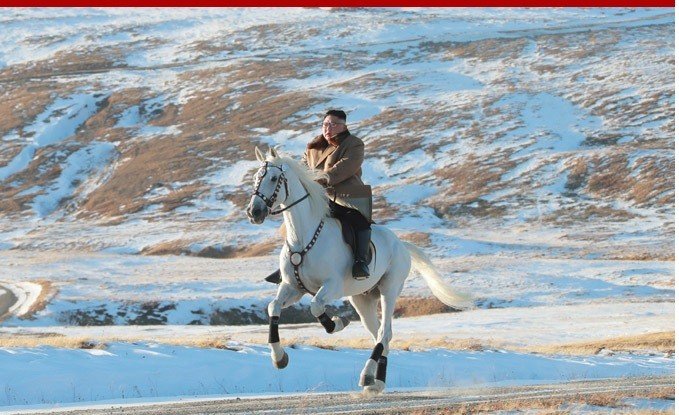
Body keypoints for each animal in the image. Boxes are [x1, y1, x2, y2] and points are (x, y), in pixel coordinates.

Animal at [246, 148, 472, 394]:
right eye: (256, 178)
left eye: (273, 178)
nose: (254, 212)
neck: (303, 237)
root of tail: (401, 244)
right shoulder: (292, 287)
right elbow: (273, 307)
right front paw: (279, 358)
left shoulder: (332, 286)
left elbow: (316, 306)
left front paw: (337, 323)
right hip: (362, 299)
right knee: (380, 336)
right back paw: (377, 382)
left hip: (389, 290)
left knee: (384, 333)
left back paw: (367, 376)